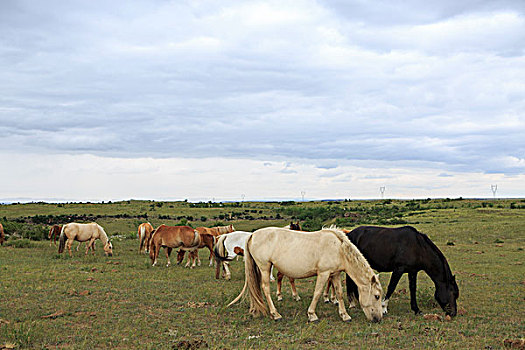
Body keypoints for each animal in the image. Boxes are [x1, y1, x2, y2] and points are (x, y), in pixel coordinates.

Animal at [227, 227, 382, 322]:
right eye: (377, 296)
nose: (378, 318)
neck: (339, 248)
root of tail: (252, 235)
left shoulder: (335, 274)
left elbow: (339, 293)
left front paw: (345, 315)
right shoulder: (324, 273)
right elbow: (317, 293)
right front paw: (312, 315)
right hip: (265, 267)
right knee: (265, 289)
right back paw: (275, 314)